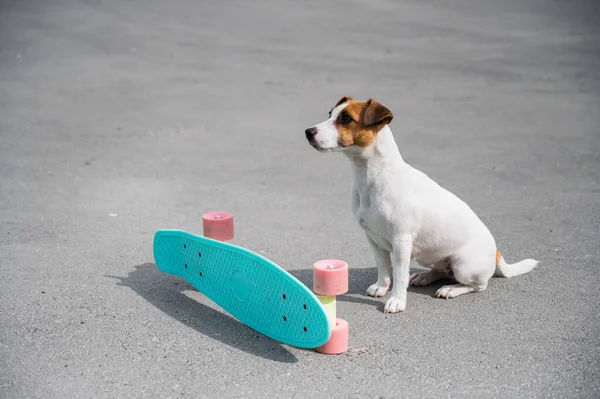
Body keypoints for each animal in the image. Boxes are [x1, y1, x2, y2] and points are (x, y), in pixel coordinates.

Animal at [304, 97, 540, 316]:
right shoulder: (373, 238)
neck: (374, 176)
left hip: (463, 265)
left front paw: (396, 301)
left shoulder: (401, 241)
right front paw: (381, 287)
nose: (308, 131)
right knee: (441, 270)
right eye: (330, 113)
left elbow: (399, 275)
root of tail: (497, 252)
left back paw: (451, 289)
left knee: (477, 285)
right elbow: (383, 267)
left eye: (346, 119)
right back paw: (424, 277)